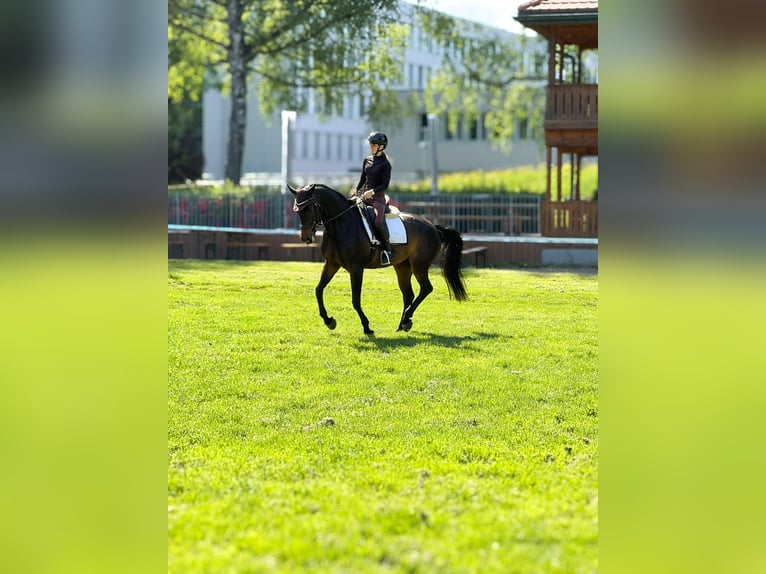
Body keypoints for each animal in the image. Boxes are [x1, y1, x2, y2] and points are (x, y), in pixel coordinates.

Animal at [288, 183, 467, 335]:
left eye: (308, 209)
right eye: (297, 210)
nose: (306, 238)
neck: (341, 225)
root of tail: (433, 227)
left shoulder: (356, 268)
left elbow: (355, 300)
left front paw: (367, 327)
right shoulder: (331, 264)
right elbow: (318, 290)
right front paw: (329, 321)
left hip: (419, 266)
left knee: (426, 289)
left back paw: (406, 319)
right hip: (402, 266)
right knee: (408, 294)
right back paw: (402, 324)